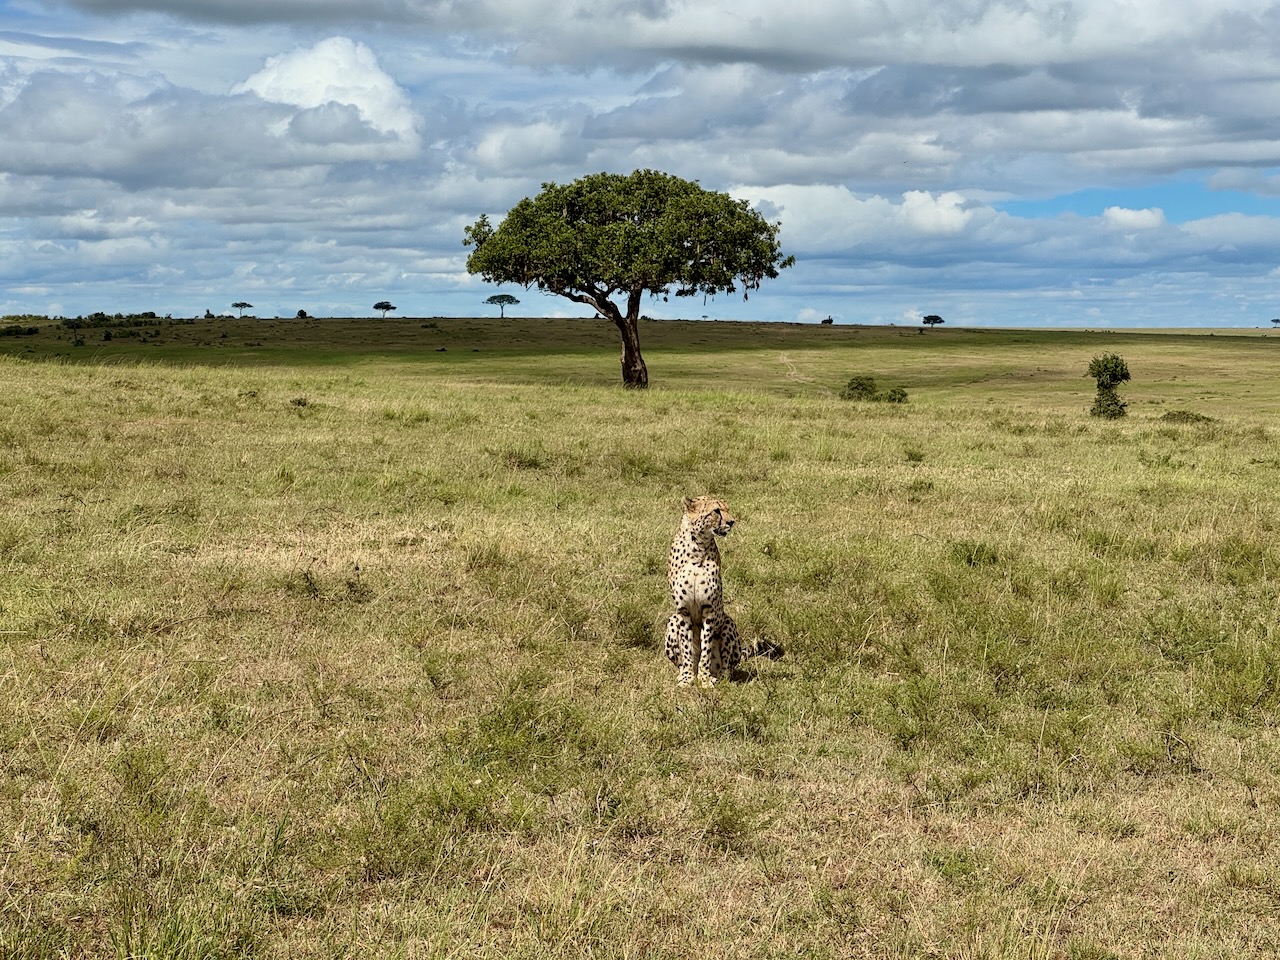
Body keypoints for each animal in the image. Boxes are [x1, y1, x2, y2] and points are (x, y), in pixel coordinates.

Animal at [664, 496, 782, 687]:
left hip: (727, 622)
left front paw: (704, 680)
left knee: (726, 667)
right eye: (716, 511)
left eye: (727, 509)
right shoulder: (683, 610)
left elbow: (706, 648)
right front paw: (688, 679)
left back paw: (718, 677)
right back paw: (686, 673)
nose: (731, 522)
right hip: (673, 619)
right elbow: (687, 648)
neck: (697, 547)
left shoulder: (710, 610)